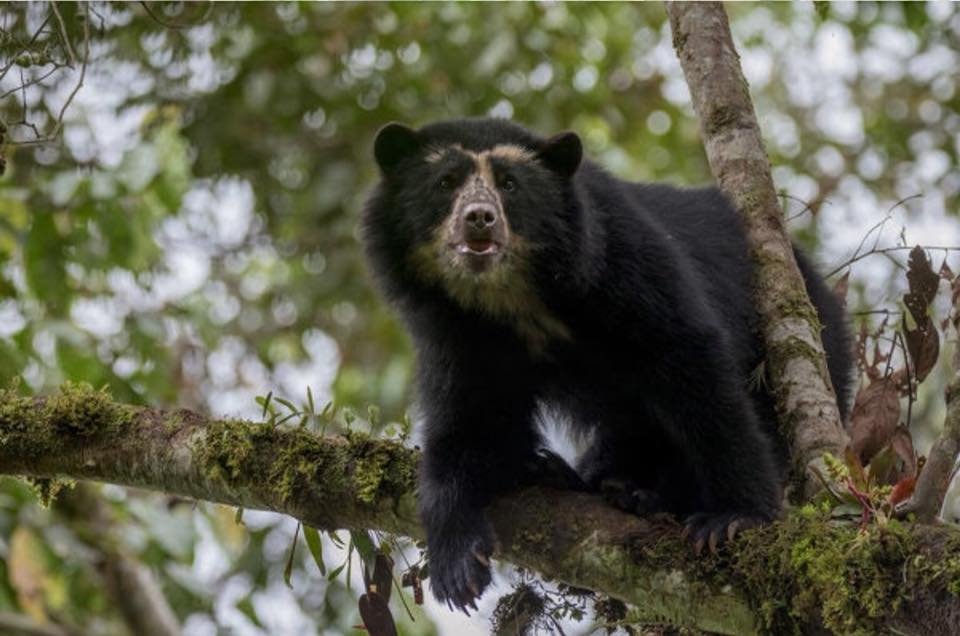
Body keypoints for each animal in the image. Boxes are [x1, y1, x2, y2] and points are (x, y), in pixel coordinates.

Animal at [361, 117, 852, 612]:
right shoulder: (458, 332)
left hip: (805, 336)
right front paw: (458, 566)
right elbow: (468, 419)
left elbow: (691, 363)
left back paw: (644, 495)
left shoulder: (619, 259)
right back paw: (567, 475)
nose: (479, 218)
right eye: (445, 182)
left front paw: (732, 519)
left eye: (509, 184)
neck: (513, 296)